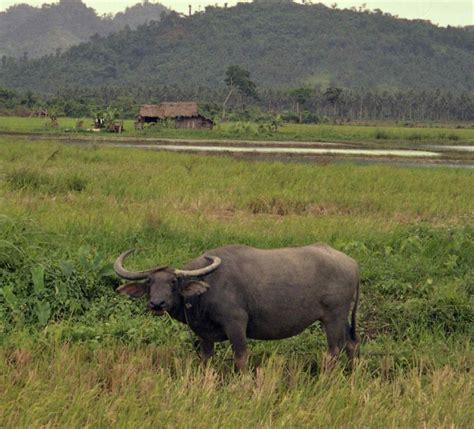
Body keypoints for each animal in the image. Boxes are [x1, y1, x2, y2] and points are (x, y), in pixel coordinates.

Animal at [115, 242, 360, 370]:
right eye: (149, 281)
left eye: (173, 281)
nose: (157, 303)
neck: (208, 287)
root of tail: (352, 263)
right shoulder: (203, 334)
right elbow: (206, 359)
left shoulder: (236, 325)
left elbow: (241, 357)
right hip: (343, 318)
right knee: (351, 344)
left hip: (333, 317)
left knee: (334, 350)